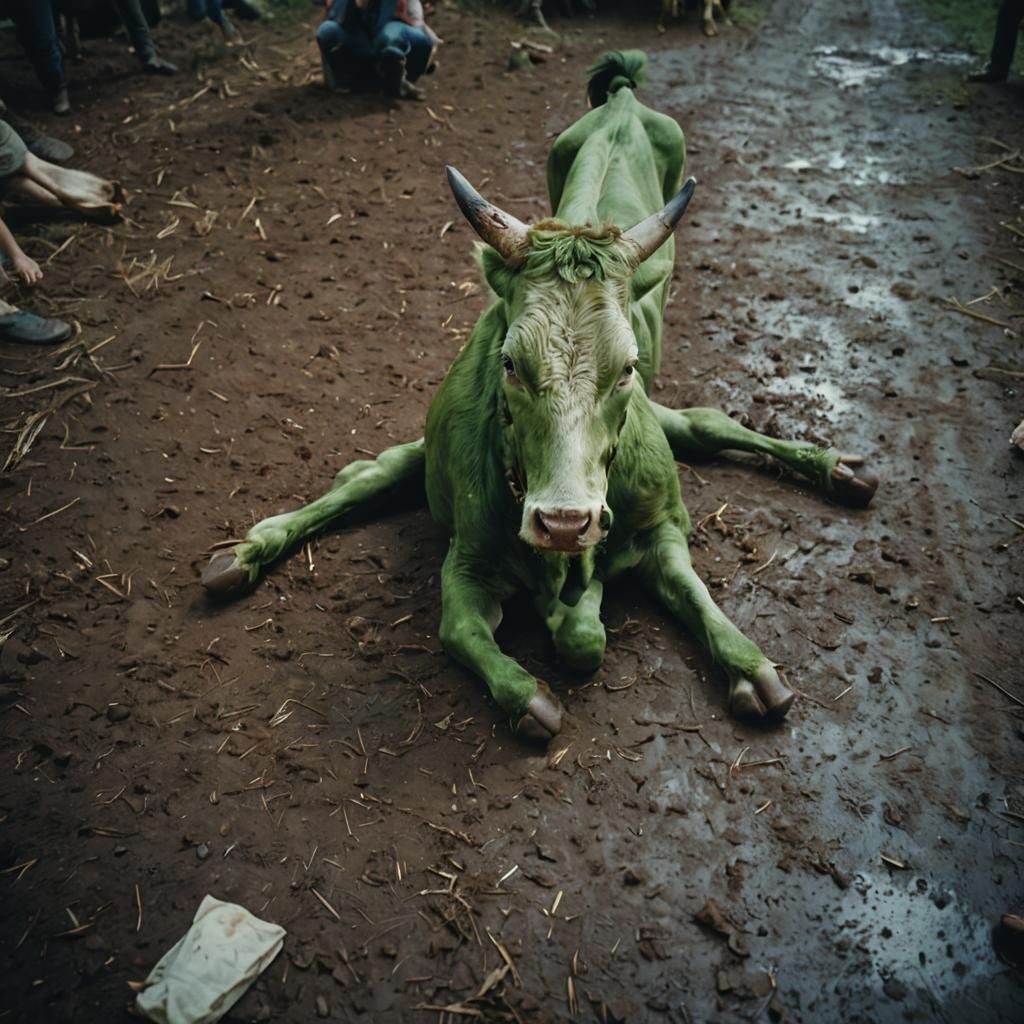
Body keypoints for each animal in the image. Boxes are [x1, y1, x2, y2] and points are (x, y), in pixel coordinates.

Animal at [202, 50, 876, 741]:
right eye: (510, 363)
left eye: (627, 367)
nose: (564, 522)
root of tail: (623, 101)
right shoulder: (467, 560)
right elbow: (472, 630)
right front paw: (538, 677)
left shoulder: (666, 523)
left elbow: (686, 599)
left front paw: (747, 666)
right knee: (370, 475)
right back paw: (248, 552)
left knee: (704, 422)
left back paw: (838, 468)